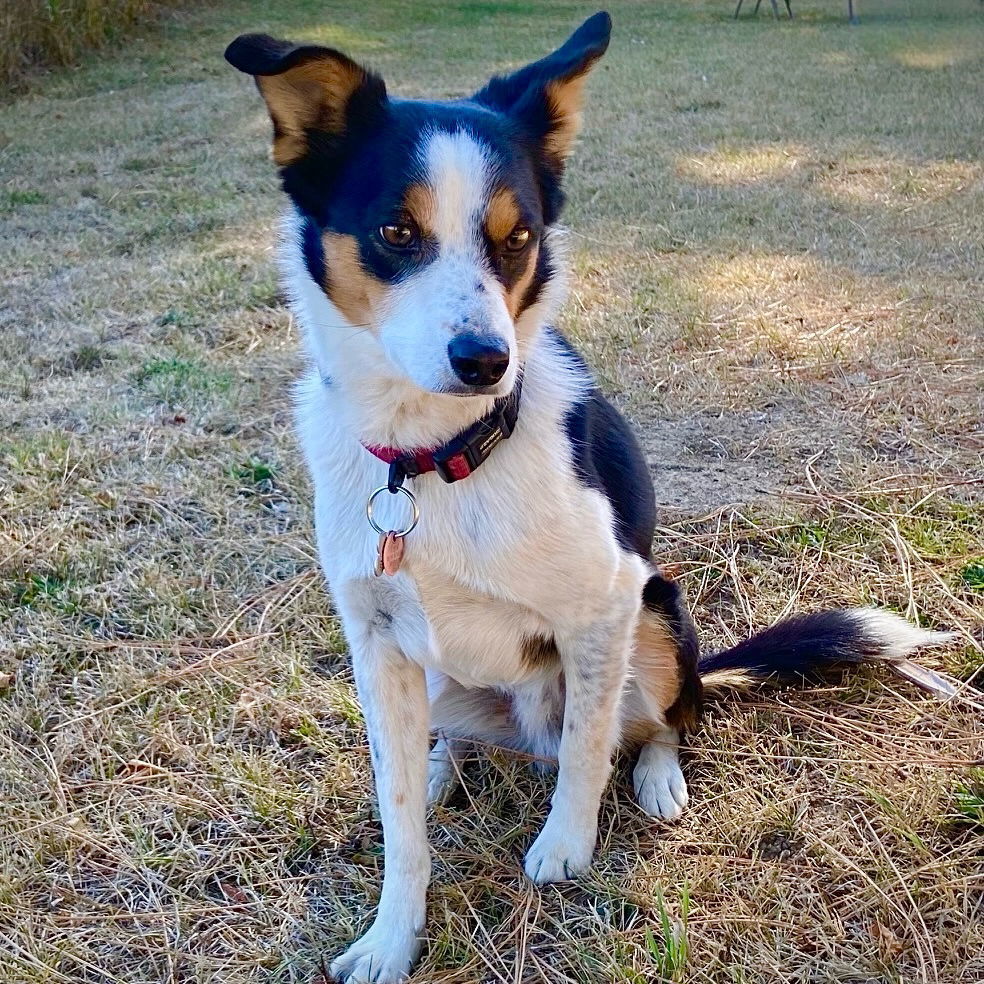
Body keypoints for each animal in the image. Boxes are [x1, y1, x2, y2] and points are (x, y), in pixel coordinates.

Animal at [225, 15, 952, 984]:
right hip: (442, 673)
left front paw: (565, 846)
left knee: (661, 719)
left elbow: (585, 749)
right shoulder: (375, 641)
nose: (486, 360)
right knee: (456, 740)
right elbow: (402, 820)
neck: (437, 457)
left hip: (659, 611)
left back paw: (655, 774)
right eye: (395, 229)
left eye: (518, 238)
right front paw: (391, 933)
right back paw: (442, 762)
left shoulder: (603, 607)